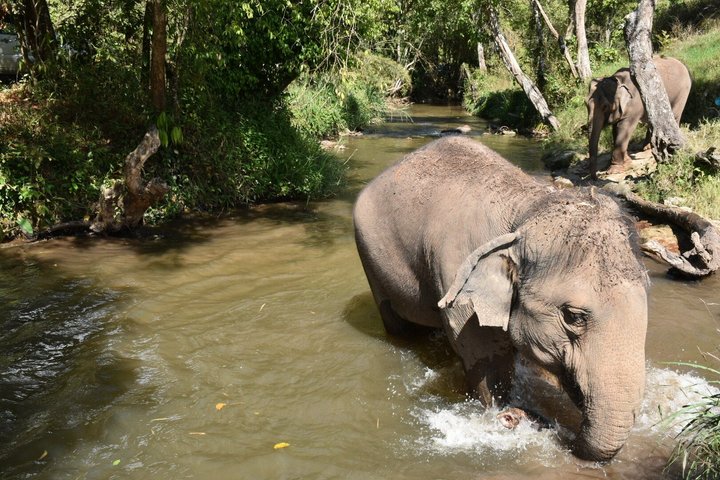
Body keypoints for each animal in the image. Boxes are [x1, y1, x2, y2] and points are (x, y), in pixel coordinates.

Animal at [353, 136, 649, 462]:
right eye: (573, 316)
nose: (562, 431)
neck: (525, 211)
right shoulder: (459, 284)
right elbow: (486, 360)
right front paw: (504, 411)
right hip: (370, 259)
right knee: (397, 322)